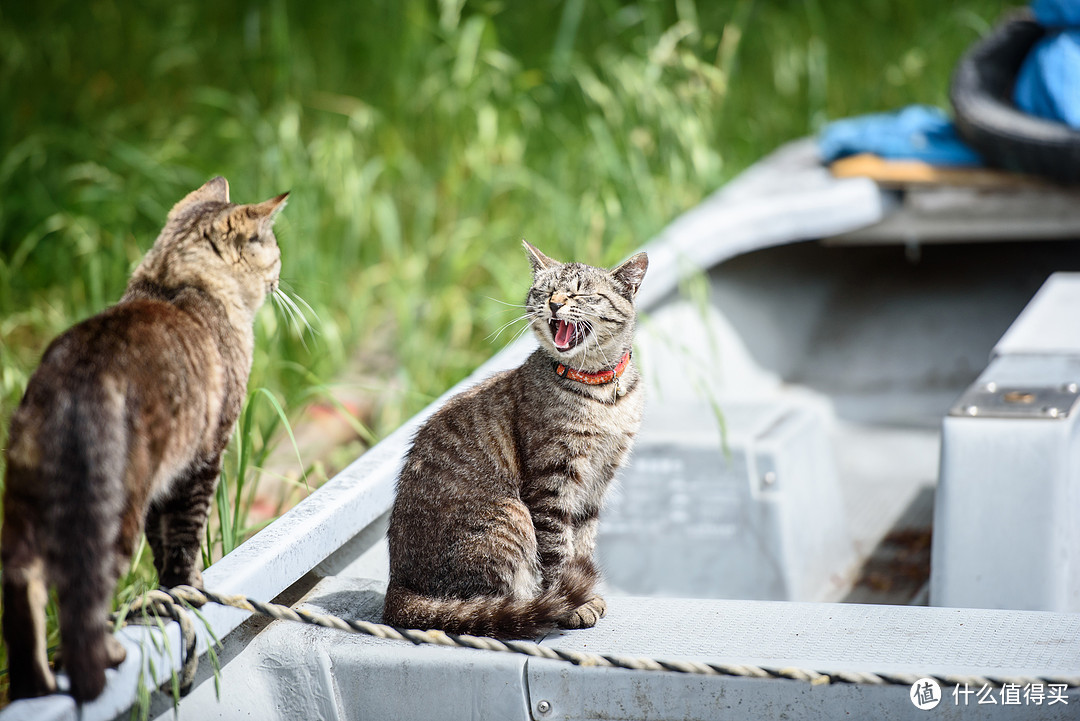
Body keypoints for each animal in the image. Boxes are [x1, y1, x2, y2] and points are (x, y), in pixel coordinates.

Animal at [1, 177, 287, 699]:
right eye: (272, 251)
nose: (280, 278)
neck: (174, 281)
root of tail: (74, 384)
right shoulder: (203, 458)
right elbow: (185, 539)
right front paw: (189, 590)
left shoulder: (166, 475)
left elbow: (164, 543)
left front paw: (169, 592)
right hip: (113, 514)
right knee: (81, 601)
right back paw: (106, 659)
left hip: (25, 514)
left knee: (24, 597)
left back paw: (37, 687)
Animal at [384, 240, 643, 634]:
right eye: (546, 291)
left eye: (580, 293)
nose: (555, 303)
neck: (601, 394)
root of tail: (397, 584)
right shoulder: (551, 481)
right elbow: (558, 549)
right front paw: (571, 603)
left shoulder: (597, 483)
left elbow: (583, 544)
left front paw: (582, 591)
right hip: (511, 513)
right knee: (490, 602)